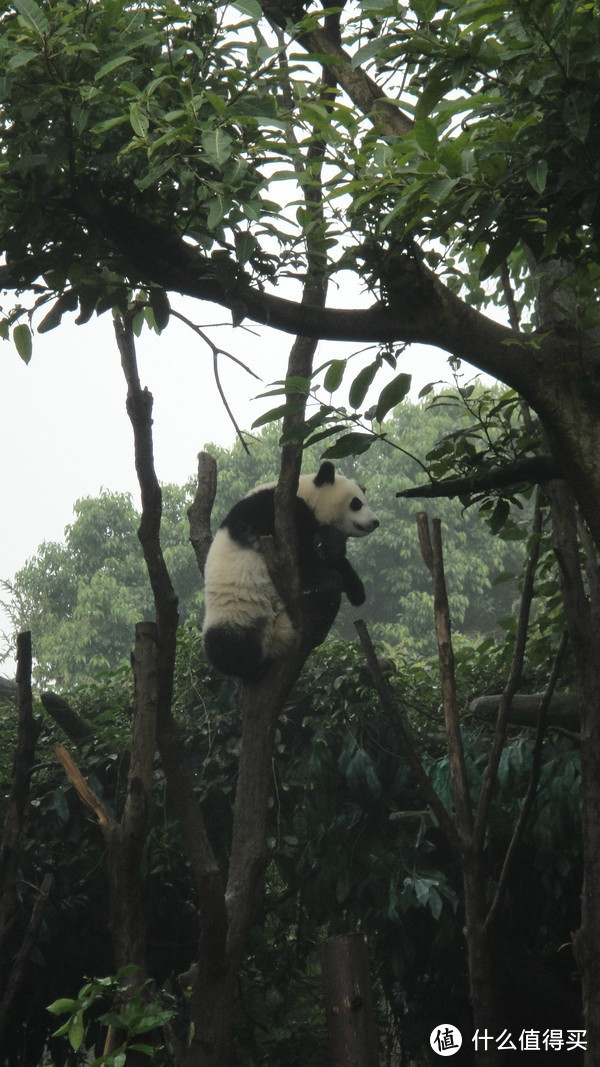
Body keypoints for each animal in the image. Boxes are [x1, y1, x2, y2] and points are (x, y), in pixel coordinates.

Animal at [202, 460, 375, 682]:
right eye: (356, 503)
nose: (375, 521)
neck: (307, 496)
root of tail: (271, 641)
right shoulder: (269, 509)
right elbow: (302, 556)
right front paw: (327, 580)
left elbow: (333, 558)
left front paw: (356, 591)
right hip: (232, 614)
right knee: (225, 648)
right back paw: (254, 670)